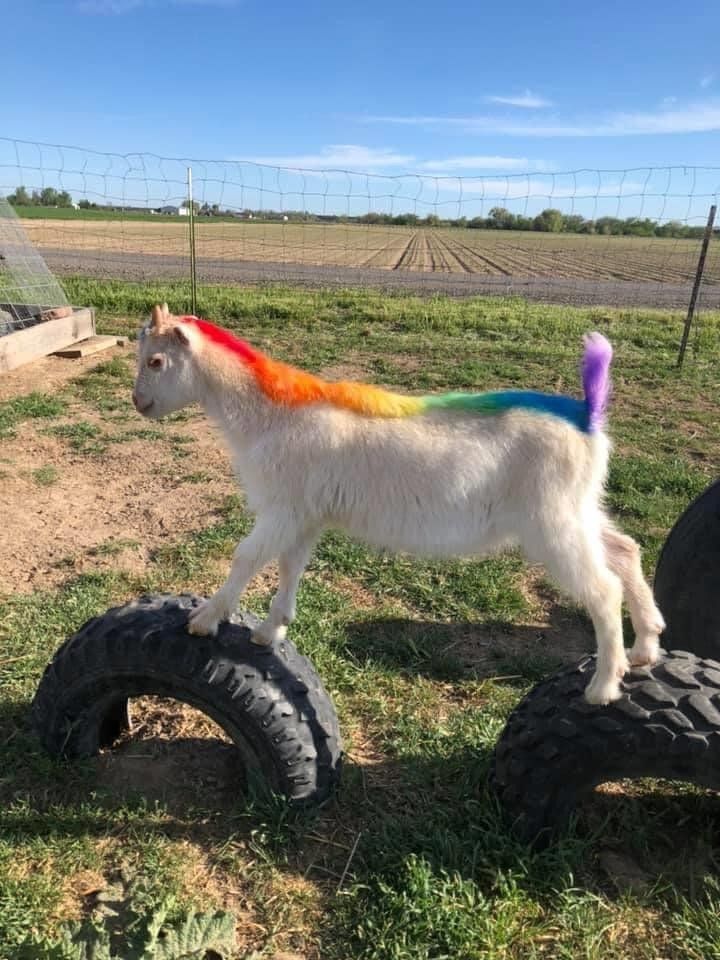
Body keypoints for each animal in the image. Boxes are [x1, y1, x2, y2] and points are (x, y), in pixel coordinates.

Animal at [134, 306, 664, 704]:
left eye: (156, 361)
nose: (139, 404)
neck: (271, 414)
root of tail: (587, 414)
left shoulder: (283, 508)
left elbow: (246, 556)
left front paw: (204, 620)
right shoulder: (305, 514)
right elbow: (290, 565)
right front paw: (271, 631)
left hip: (551, 522)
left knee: (603, 589)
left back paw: (603, 685)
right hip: (579, 509)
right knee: (625, 549)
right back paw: (646, 646)